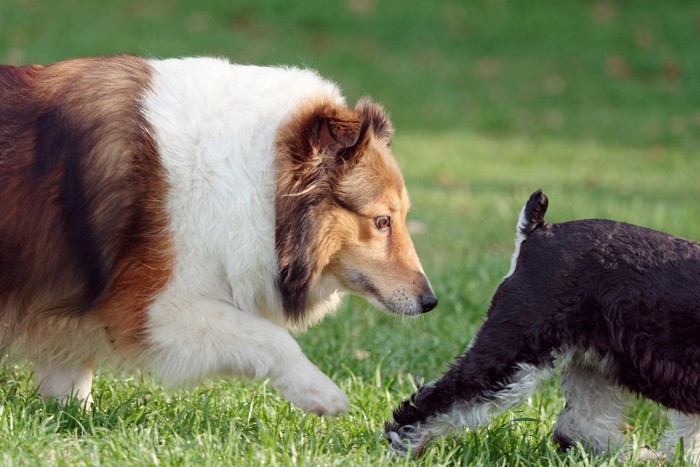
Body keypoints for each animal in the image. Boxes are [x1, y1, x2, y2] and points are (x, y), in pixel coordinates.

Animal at [0, 55, 434, 416]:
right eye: (382, 221)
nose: (429, 301)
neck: (259, 179)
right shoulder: (153, 310)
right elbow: (271, 337)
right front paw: (322, 393)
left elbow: (69, 376)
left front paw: (74, 419)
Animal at [388, 191, 700, 464]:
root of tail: (538, 230)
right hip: (512, 354)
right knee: (429, 404)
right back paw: (404, 451)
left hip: (595, 363)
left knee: (577, 426)